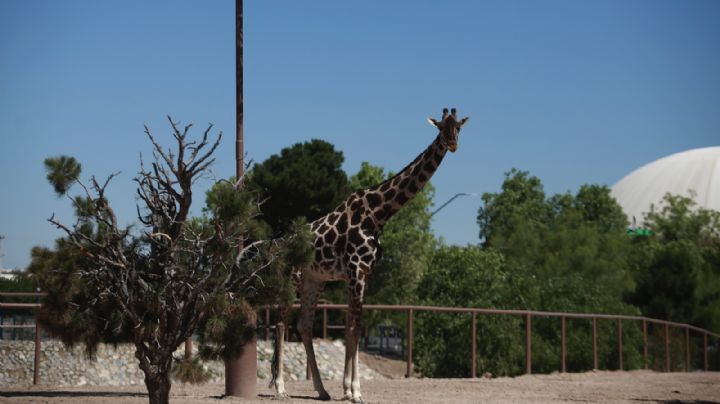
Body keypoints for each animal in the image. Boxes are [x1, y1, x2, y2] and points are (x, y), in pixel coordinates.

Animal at [268, 108, 466, 404]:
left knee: (304, 324)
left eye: (459, 128)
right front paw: (355, 391)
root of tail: (278, 246)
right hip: (290, 275)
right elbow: (354, 327)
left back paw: (322, 390)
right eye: (441, 127)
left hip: (314, 279)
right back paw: (280, 387)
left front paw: (347, 389)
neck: (379, 214)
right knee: (281, 321)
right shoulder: (355, 271)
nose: (452, 144)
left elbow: (355, 328)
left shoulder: (364, 273)